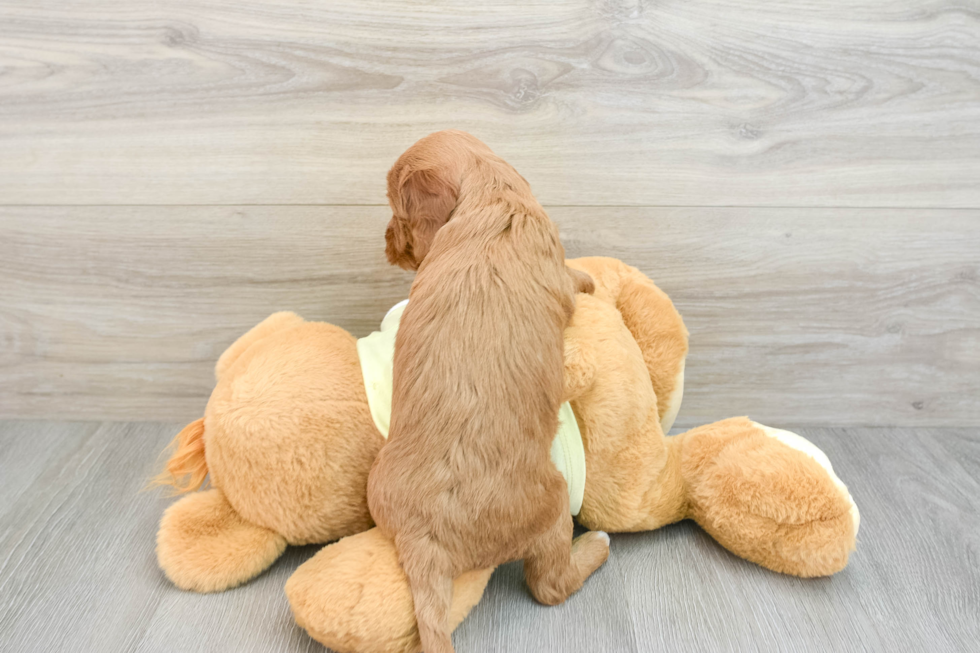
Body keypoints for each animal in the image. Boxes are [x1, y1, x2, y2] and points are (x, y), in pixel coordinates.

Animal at [368, 129, 604, 652]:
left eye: (396, 214)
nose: (387, 244)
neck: (491, 192)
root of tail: (423, 539)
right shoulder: (556, 267)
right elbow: (573, 279)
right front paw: (590, 279)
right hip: (552, 506)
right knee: (550, 584)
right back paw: (595, 547)